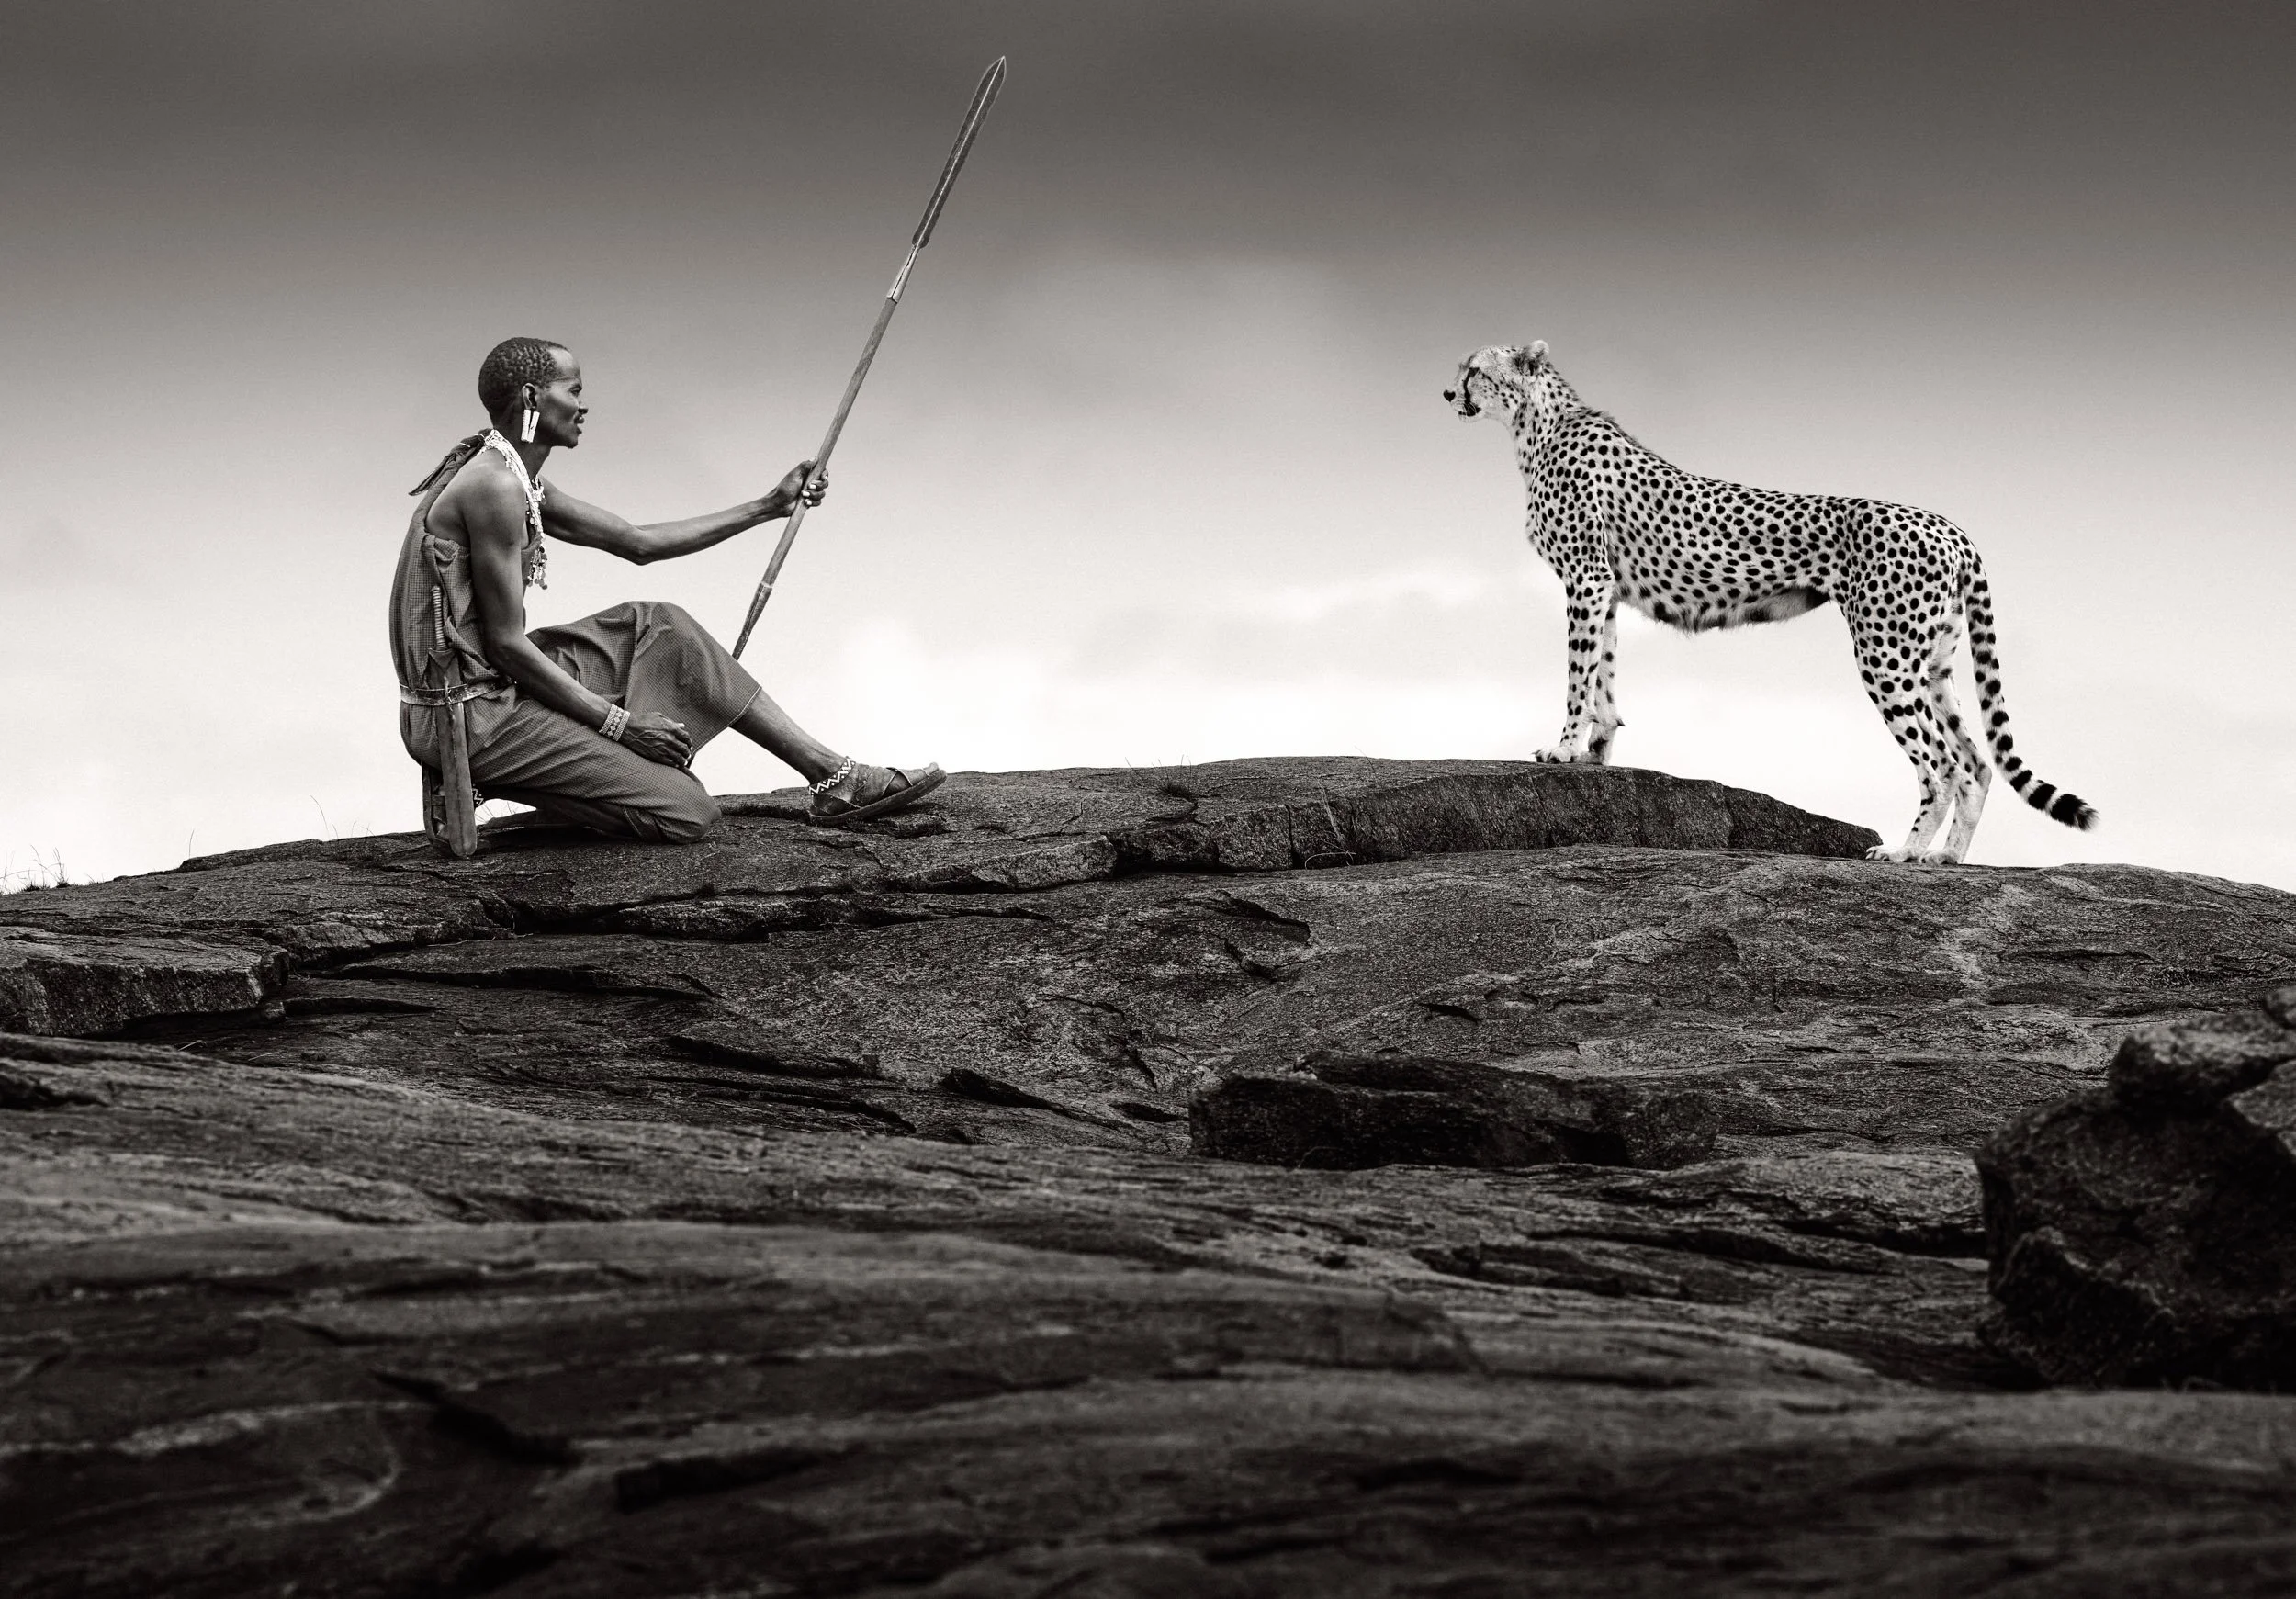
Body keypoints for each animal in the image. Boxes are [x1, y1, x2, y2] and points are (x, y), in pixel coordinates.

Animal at [1444, 341, 2096, 864]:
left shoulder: (1586, 578)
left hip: (1885, 655)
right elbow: (1602, 668)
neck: (1536, 425)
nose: (1448, 391)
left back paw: (1905, 852)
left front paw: (1561, 748)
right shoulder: (1605, 586)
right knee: (1978, 764)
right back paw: (1948, 859)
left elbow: (1579, 672)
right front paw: (1597, 751)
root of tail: (1952, 528)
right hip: (1931, 661)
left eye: (1474, 368)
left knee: (1944, 765)